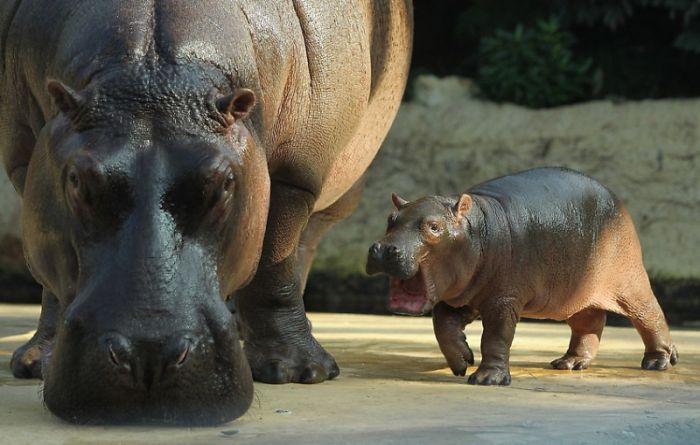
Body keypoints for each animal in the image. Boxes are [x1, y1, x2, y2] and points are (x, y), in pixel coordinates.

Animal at [0, 0, 412, 424]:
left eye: (224, 183)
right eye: (77, 180)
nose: (148, 357)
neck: (153, 75)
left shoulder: (294, 176)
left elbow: (274, 263)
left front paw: (299, 372)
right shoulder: (25, 161)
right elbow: (48, 272)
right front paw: (38, 363)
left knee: (303, 243)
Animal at [366, 166, 680, 386]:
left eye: (433, 226)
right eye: (390, 219)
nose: (382, 248)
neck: (476, 229)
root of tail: (617, 200)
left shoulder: (503, 300)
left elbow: (496, 336)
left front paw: (486, 379)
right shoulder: (463, 297)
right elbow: (442, 324)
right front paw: (461, 362)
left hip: (629, 282)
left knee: (650, 315)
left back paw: (658, 362)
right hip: (574, 295)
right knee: (588, 324)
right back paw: (570, 363)